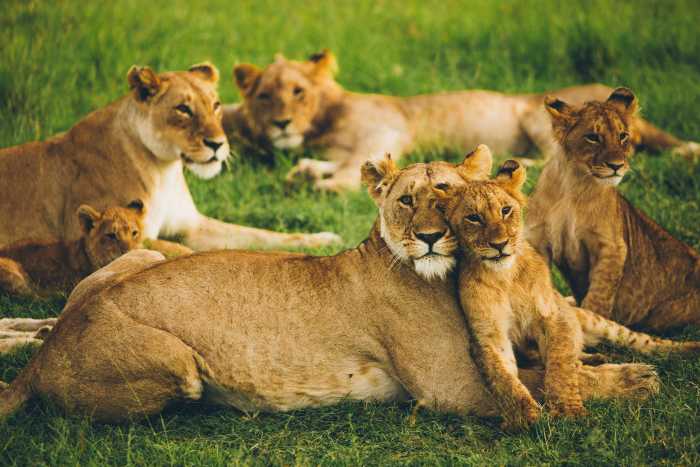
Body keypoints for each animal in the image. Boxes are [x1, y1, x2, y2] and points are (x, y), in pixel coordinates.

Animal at [0, 63, 341, 252]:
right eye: (183, 109)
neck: (164, 170)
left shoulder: (193, 226)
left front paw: (324, 239)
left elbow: (261, 234)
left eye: (216, 105)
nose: (217, 144)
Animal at [0, 155, 659, 425]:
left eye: (447, 193)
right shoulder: (451, 389)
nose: (428, 237)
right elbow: (536, 382)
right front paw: (634, 379)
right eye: (407, 201)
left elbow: (552, 363)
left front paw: (606, 362)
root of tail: (43, 359)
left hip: (138, 253)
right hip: (179, 363)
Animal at [223, 49, 700, 192]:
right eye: (265, 96)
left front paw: (323, 185)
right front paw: (306, 171)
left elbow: (352, 169)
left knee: (557, 159)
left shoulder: (387, 130)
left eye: (297, 92)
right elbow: (340, 163)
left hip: (536, 115)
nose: (281, 123)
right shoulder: (348, 147)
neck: (323, 123)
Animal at [437, 153, 700, 431]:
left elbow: (560, 364)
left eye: (505, 210)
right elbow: (502, 378)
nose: (499, 245)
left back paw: (687, 350)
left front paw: (567, 410)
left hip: (595, 320)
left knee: (644, 341)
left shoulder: (554, 316)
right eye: (473, 218)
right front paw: (522, 416)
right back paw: (596, 359)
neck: (504, 277)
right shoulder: (488, 336)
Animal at [526, 87, 700, 332]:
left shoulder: (612, 247)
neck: (573, 184)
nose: (617, 165)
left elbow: (598, 297)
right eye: (593, 137)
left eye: (623, 136)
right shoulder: (538, 240)